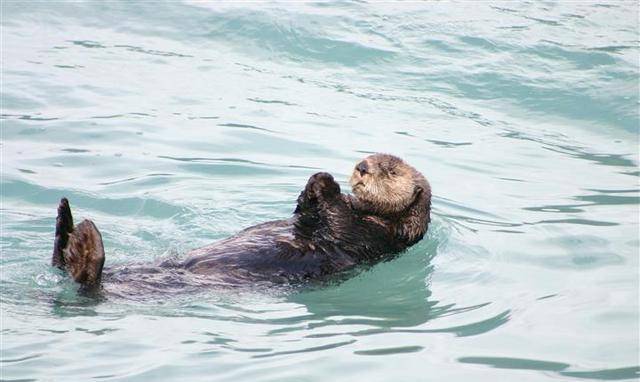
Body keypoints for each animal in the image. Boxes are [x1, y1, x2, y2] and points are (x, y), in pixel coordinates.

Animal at [48, 154, 430, 290]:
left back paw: (83, 245)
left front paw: (325, 183)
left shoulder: (376, 237)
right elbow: (305, 216)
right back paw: (66, 225)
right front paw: (314, 185)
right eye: (367, 156)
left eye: (391, 170)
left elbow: (338, 223)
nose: (361, 167)